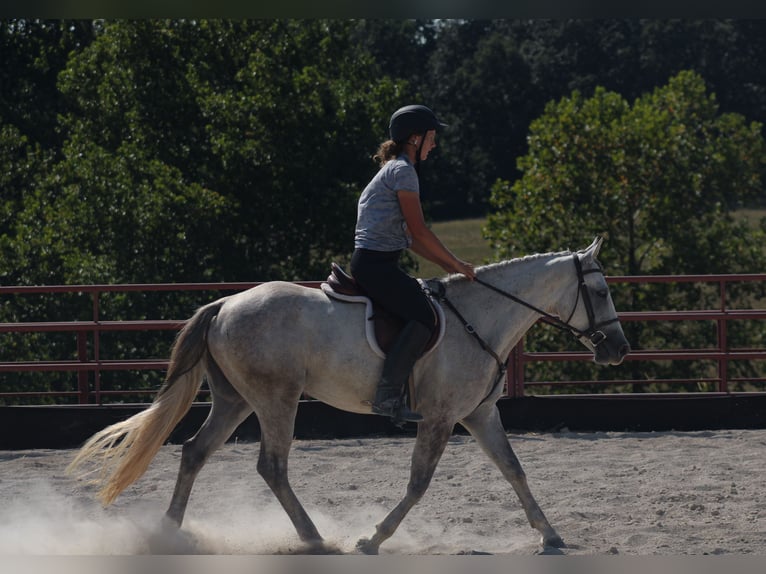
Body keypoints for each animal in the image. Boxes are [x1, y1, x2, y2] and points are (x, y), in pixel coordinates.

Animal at [68, 236, 630, 554]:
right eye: (601, 292)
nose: (618, 349)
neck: (480, 317)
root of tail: (225, 304)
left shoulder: (480, 415)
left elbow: (515, 471)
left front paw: (550, 536)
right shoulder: (440, 418)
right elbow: (419, 483)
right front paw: (372, 538)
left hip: (236, 401)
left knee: (194, 453)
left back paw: (170, 533)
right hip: (276, 399)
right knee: (271, 466)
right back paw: (315, 538)